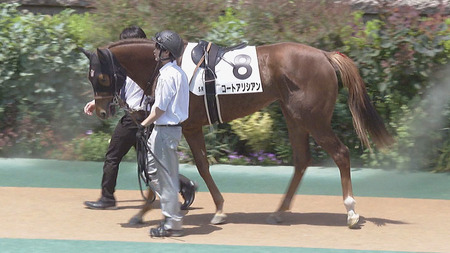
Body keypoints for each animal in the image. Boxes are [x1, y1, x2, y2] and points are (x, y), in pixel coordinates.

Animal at [81, 38, 394, 229]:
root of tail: (326, 55)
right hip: (294, 117)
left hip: (313, 119)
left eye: (102, 76)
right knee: (302, 160)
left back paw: (351, 212)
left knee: (340, 154)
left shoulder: (184, 125)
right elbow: (195, 166)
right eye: (90, 77)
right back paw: (280, 211)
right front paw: (214, 208)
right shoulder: (188, 127)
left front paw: (143, 211)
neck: (167, 64)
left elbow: (176, 166)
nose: (102, 111)